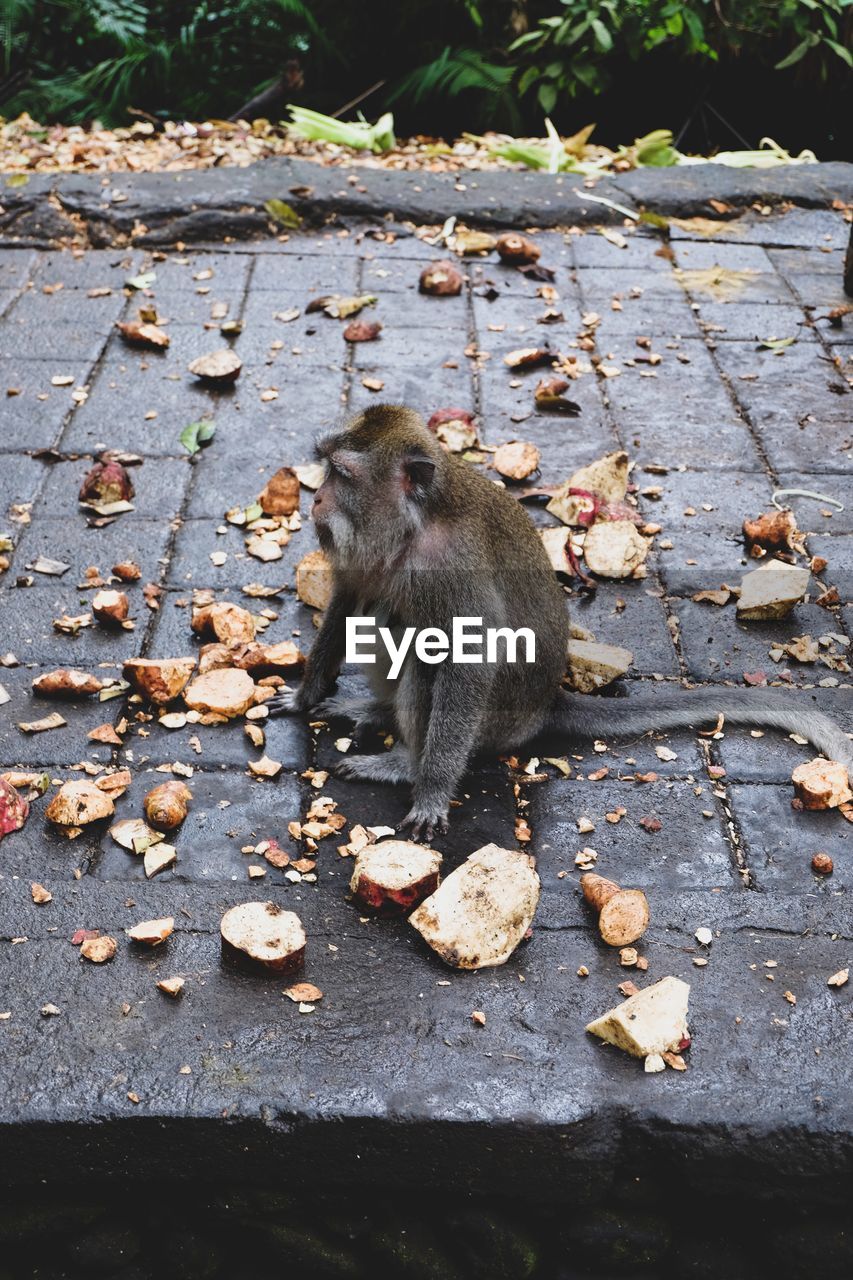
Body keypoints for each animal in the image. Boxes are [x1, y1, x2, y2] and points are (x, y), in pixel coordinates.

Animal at [268, 407, 845, 839]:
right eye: (327, 469)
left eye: (343, 475)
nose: (317, 500)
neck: (413, 528)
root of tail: (545, 705)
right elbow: (348, 600)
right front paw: (304, 696)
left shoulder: (453, 569)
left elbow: (469, 657)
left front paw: (430, 791)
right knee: (383, 613)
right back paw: (377, 712)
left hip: (498, 722)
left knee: (426, 654)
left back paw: (401, 762)